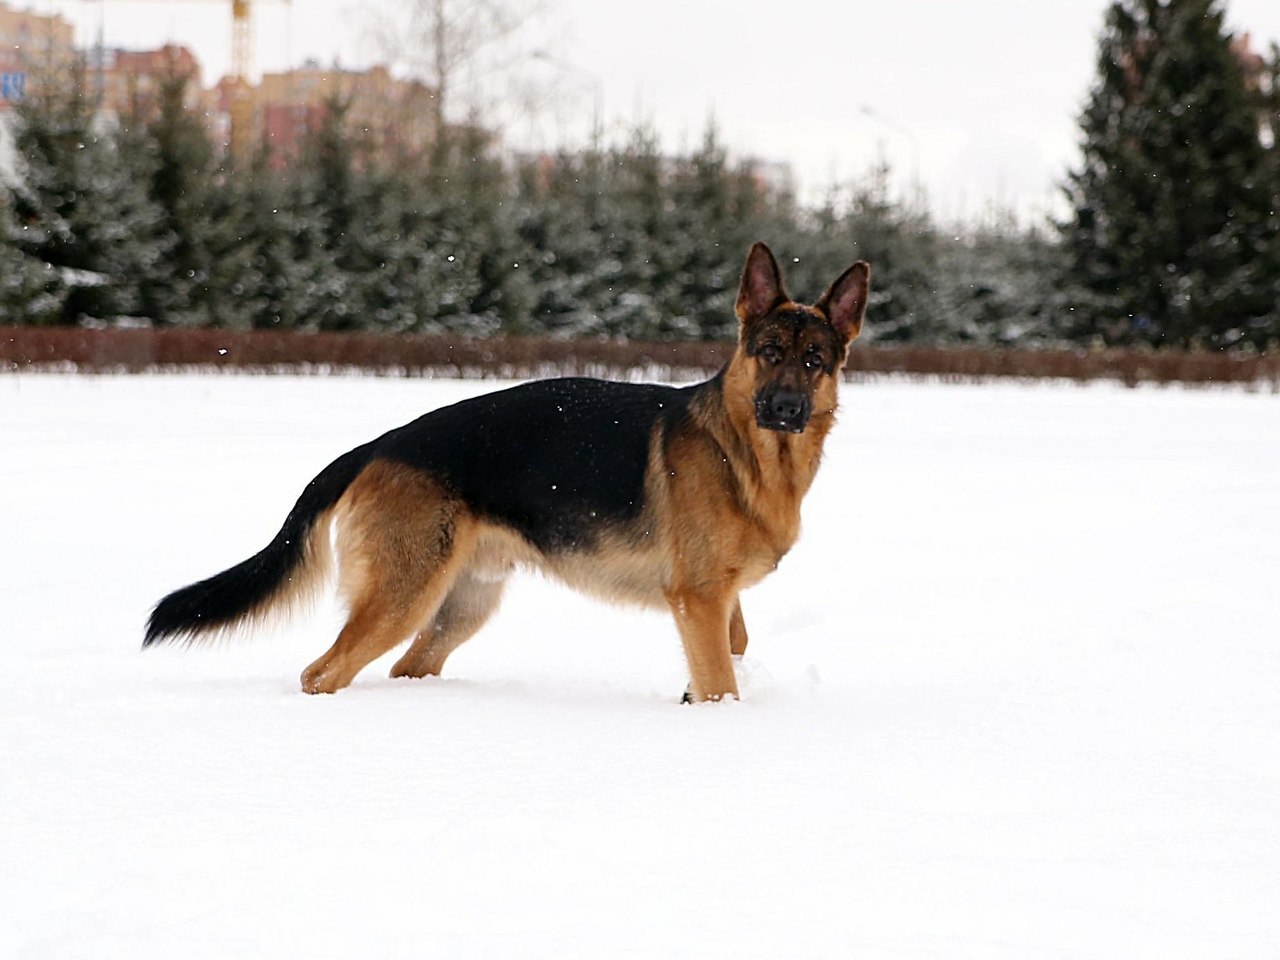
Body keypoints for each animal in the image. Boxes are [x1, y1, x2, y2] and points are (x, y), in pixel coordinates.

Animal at [147, 244, 870, 701]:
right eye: (769, 351)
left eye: (815, 361)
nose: (784, 410)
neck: (744, 453)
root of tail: (379, 444)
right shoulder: (697, 599)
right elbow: (722, 683)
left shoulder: (717, 605)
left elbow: (731, 651)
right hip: (403, 598)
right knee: (321, 673)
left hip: (459, 605)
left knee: (407, 668)